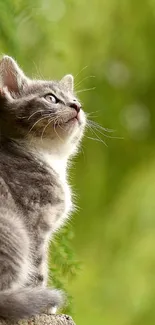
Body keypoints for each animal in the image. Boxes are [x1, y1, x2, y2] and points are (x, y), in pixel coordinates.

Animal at [0, 55, 86, 318]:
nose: (76, 106)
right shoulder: (34, 222)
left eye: (75, 100)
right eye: (51, 98)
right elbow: (37, 267)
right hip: (15, 230)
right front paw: (45, 305)